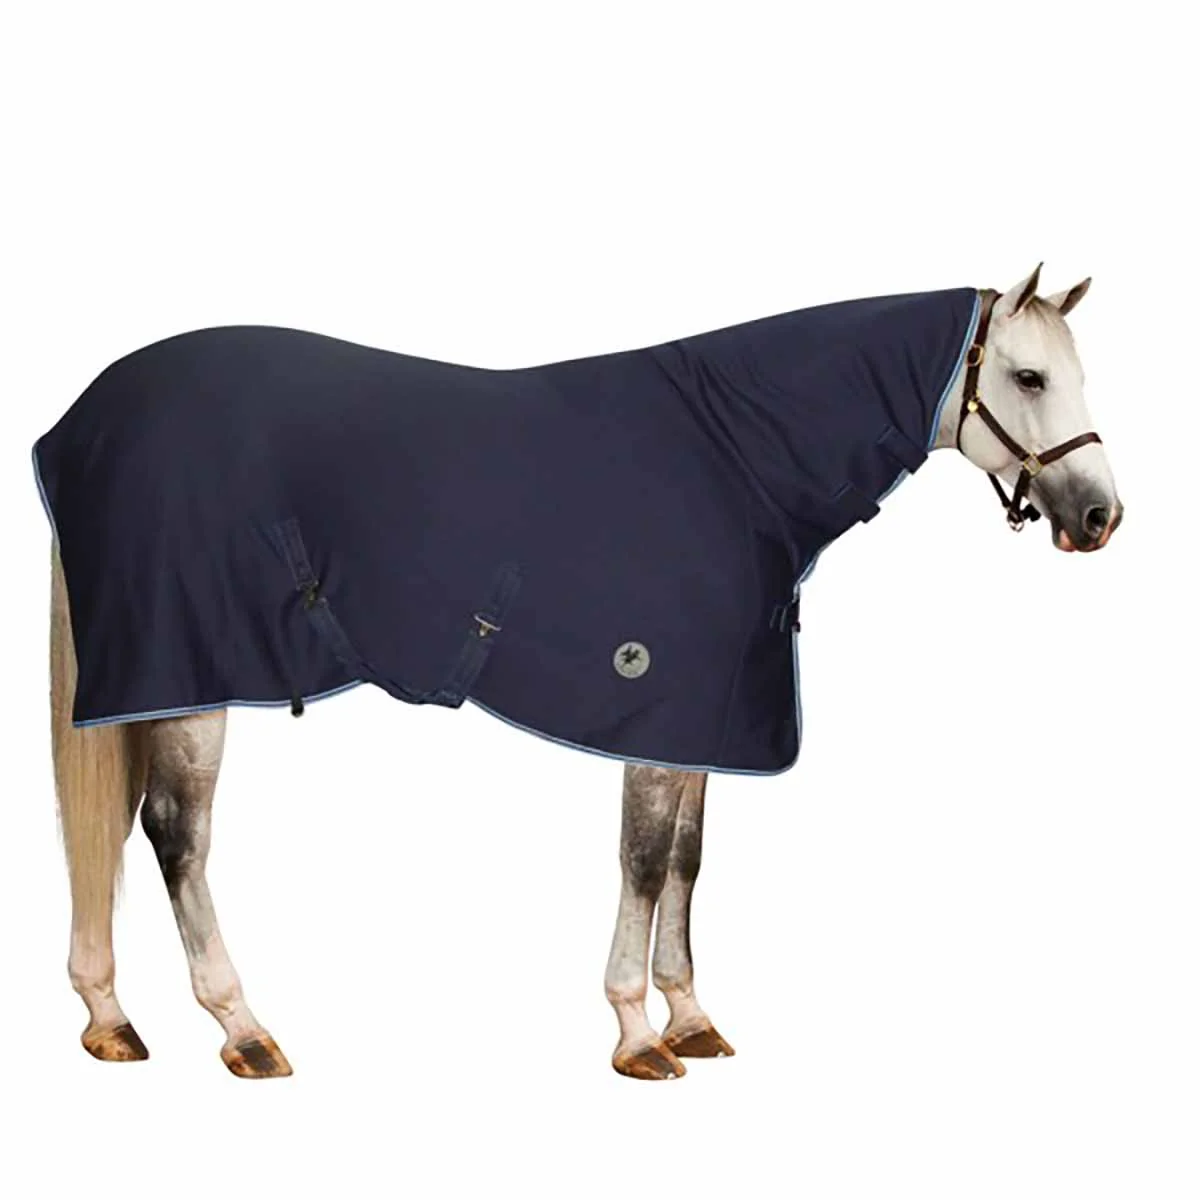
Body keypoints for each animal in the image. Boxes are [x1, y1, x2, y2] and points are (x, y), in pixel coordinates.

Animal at [36, 265, 1122, 1080]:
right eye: (1029, 378)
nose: (1100, 515)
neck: (734, 456)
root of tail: (81, 421)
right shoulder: (651, 705)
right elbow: (642, 862)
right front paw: (638, 1034)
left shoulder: (705, 716)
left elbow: (686, 862)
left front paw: (692, 1019)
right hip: (192, 674)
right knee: (176, 837)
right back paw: (242, 1028)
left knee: (114, 833)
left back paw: (109, 1018)